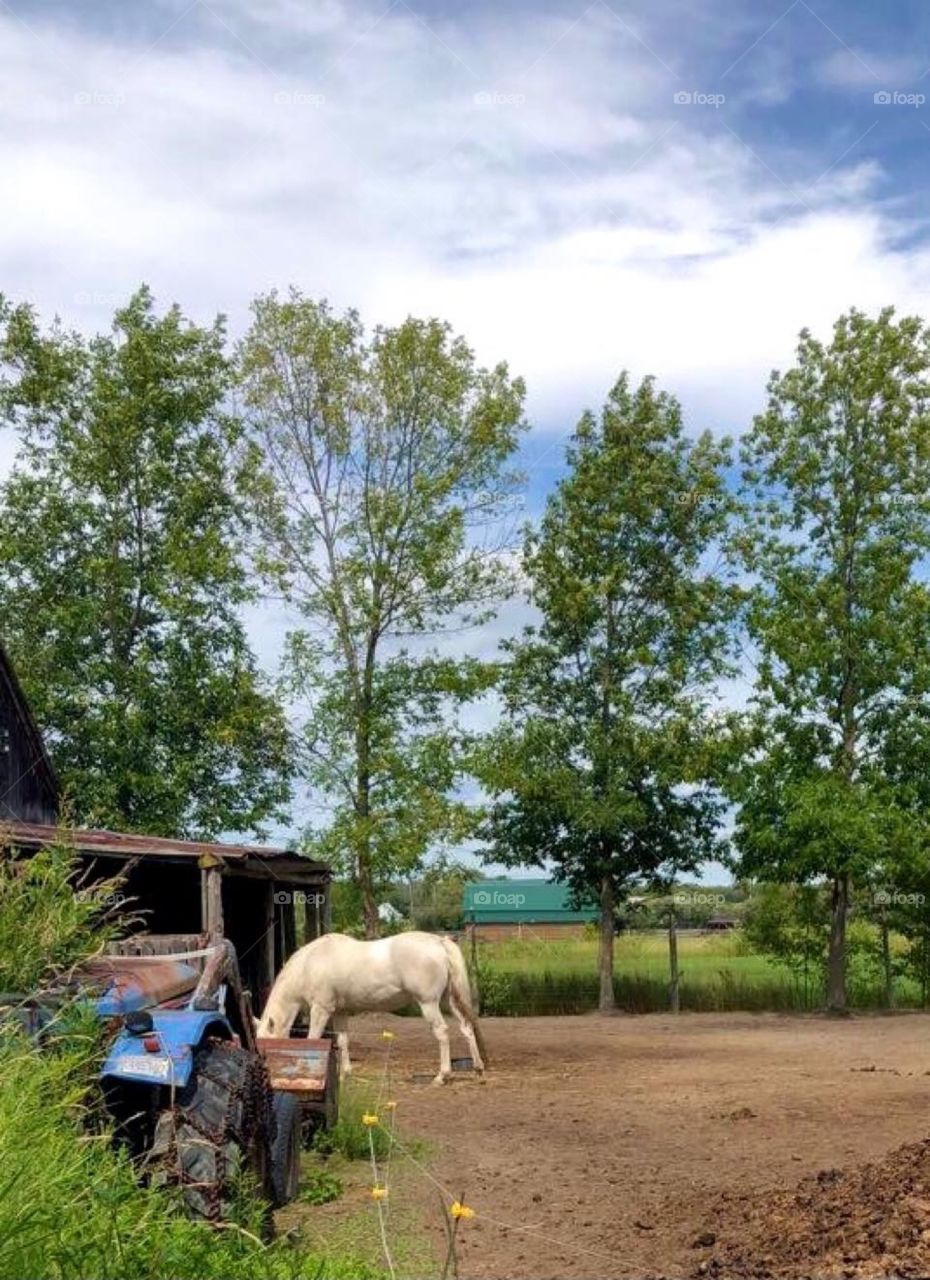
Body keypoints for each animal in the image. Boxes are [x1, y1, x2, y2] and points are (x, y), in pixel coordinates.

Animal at [255, 930, 488, 1085]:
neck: (309, 964)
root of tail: (439, 941)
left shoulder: (321, 1010)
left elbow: (312, 1040)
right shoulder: (339, 1012)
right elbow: (343, 1041)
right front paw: (345, 1074)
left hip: (428, 1003)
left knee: (442, 1033)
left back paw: (442, 1076)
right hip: (450, 1002)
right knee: (466, 1028)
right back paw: (478, 1069)